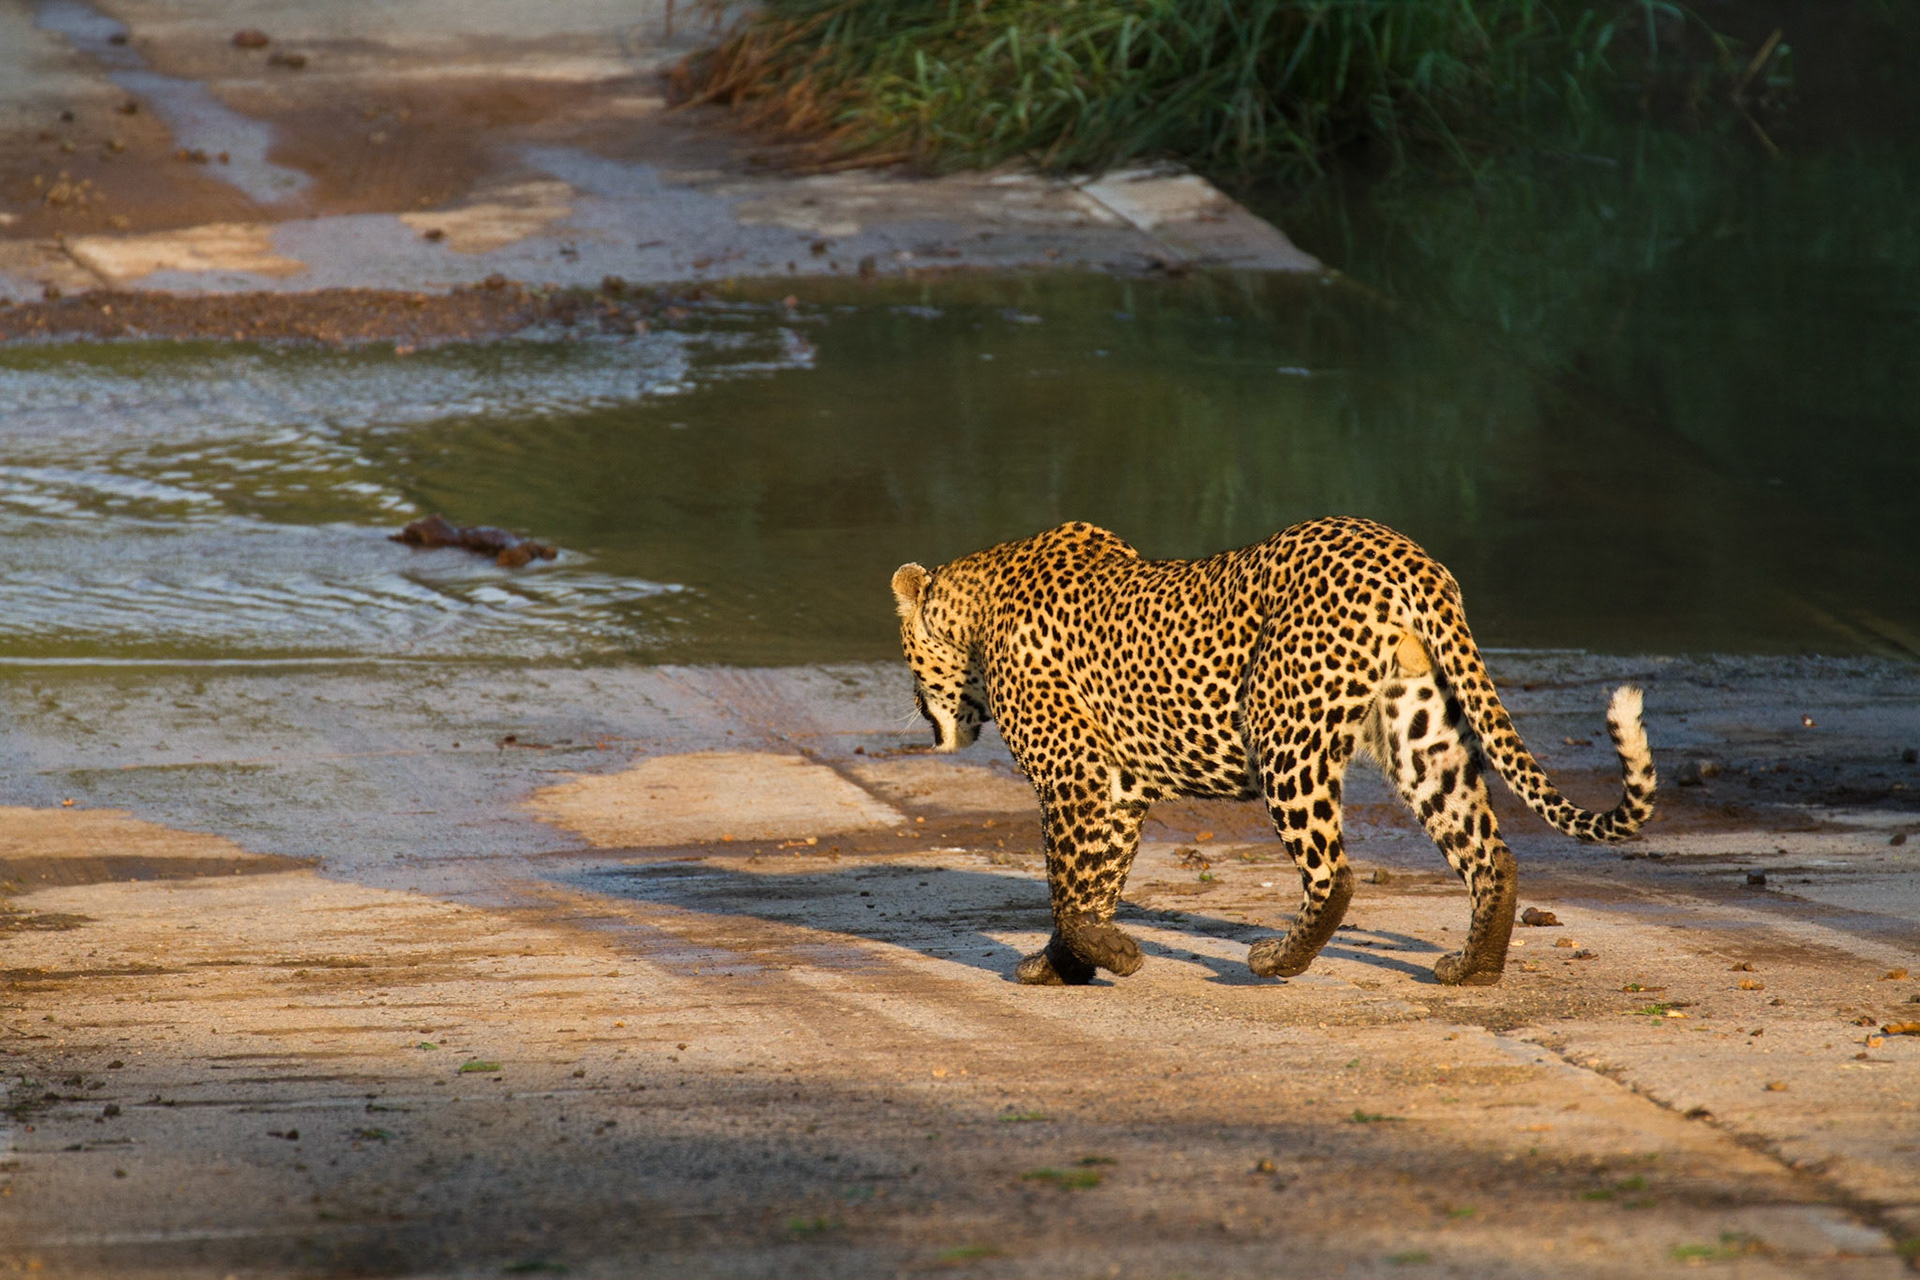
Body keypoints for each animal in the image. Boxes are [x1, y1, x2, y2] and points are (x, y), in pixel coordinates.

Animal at [890, 517, 1655, 987]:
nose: (921, 713)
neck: (975, 609)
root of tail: (1407, 555)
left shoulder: (1076, 778)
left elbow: (1069, 888)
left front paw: (1101, 956)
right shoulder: (1121, 788)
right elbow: (1094, 884)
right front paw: (1070, 963)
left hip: (1286, 737)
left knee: (1333, 874)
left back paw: (1276, 961)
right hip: (1421, 728)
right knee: (1490, 854)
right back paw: (1474, 969)